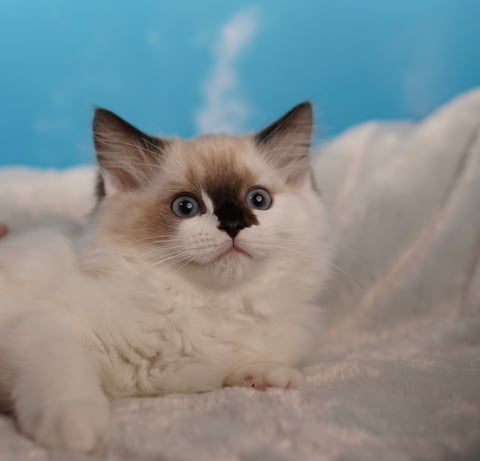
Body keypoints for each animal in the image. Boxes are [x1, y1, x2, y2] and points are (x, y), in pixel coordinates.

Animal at [0, 102, 330, 452]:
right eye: (185, 207)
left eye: (258, 200)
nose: (233, 224)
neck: (210, 304)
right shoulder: (47, 326)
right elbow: (65, 378)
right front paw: (77, 433)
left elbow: (240, 368)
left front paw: (273, 378)